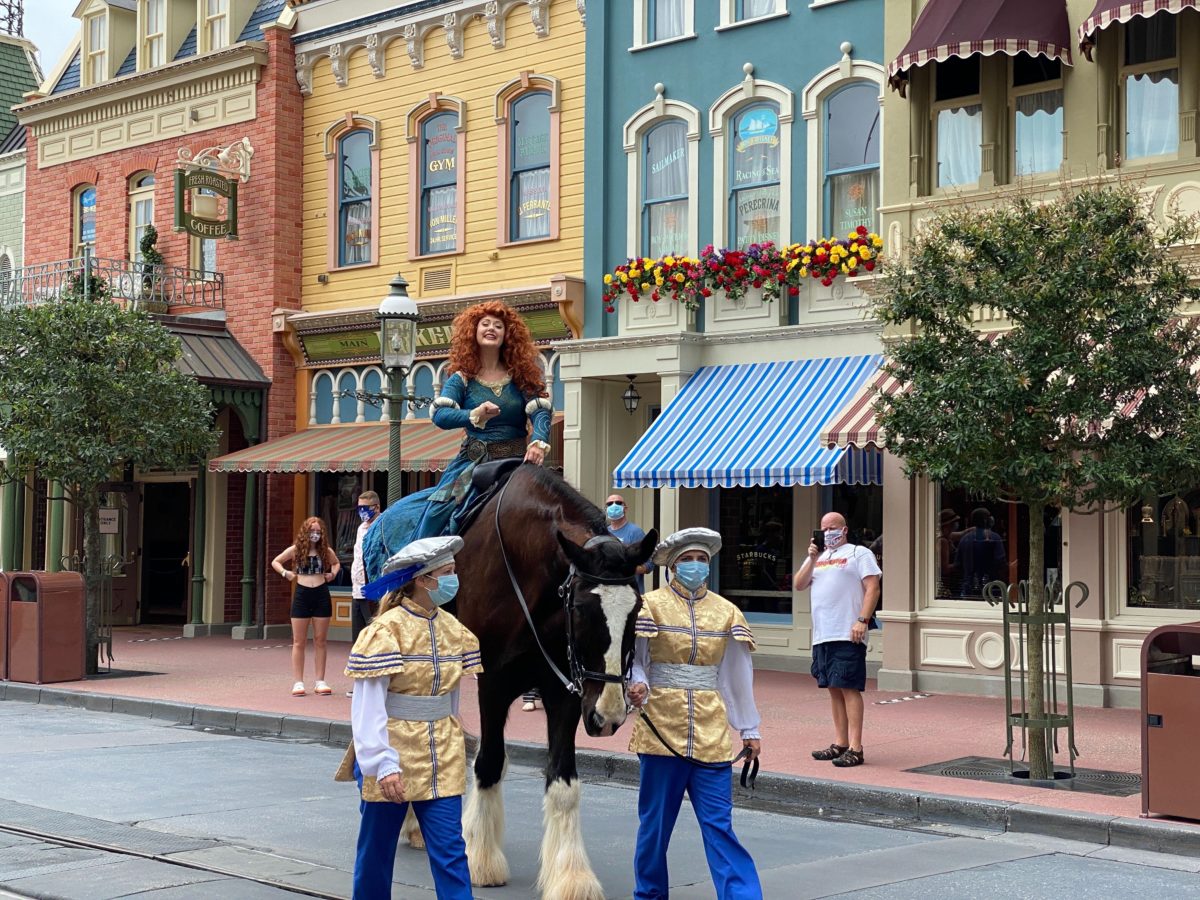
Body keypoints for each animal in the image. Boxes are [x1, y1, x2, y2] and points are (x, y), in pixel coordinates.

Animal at [417, 465, 657, 900]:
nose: (609, 716)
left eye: (636, 611)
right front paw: (480, 859)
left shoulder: (566, 690)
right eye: (581, 609)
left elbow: (563, 782)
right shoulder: (492, 682)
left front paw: (571, 877)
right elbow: (489, 762)